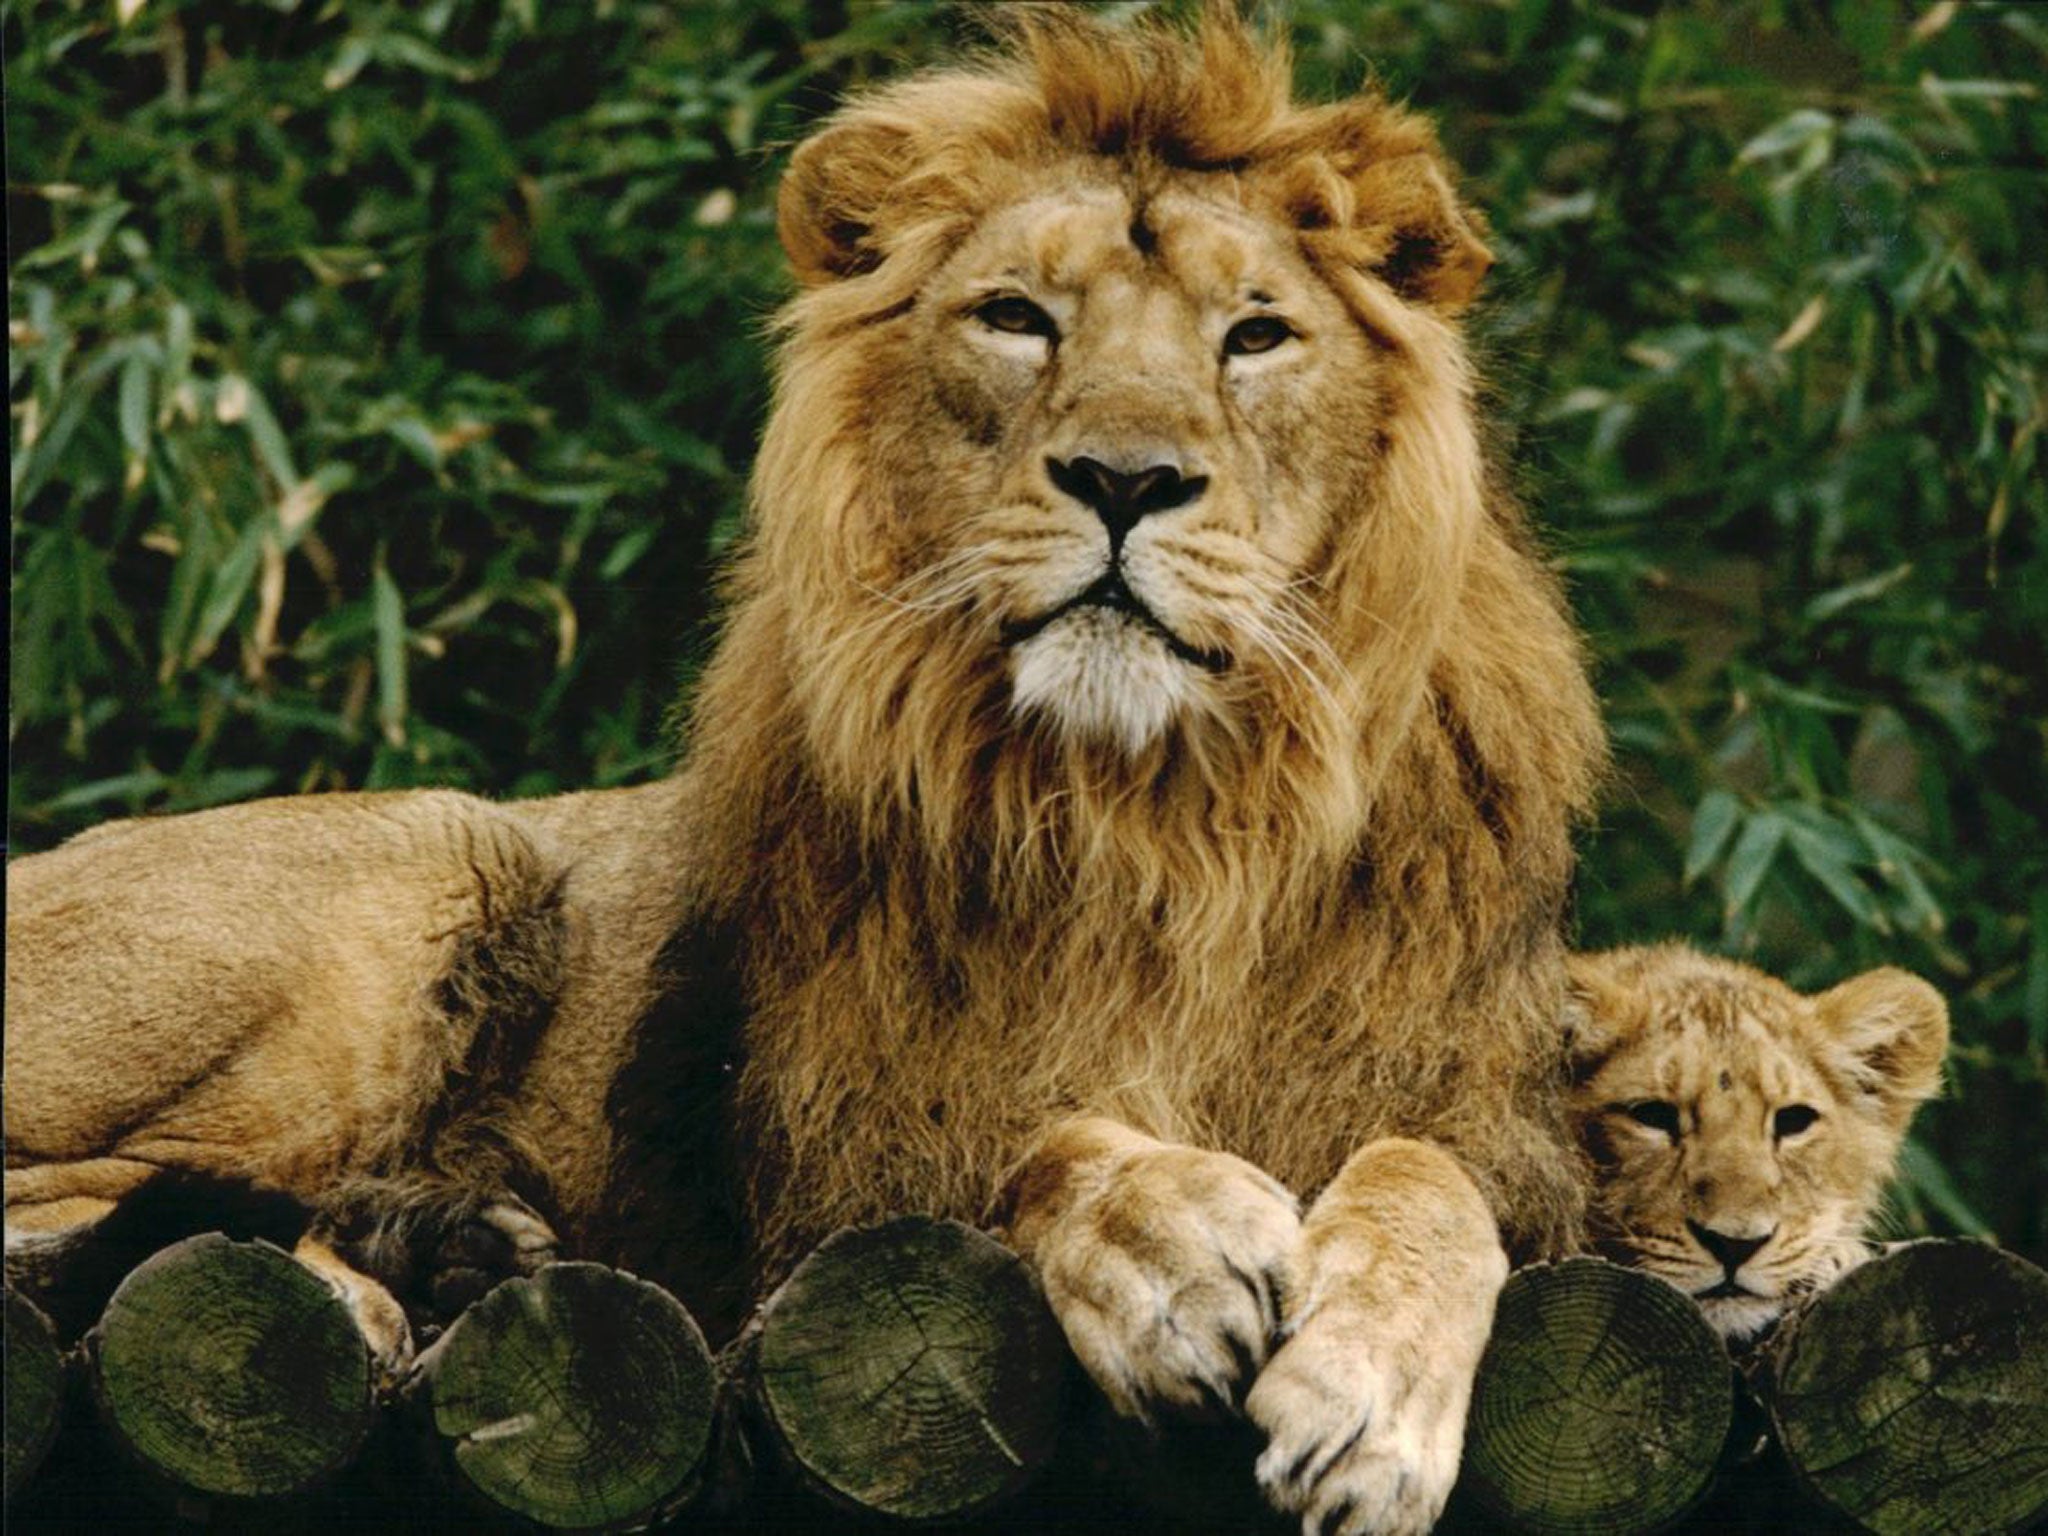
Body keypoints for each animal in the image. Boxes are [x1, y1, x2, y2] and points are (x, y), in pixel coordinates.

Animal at [8, 12, 1605, 1536]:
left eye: (1257, 336)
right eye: (1016, 319)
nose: (1126, 479)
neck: (1151, 812)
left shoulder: (1489, 1120)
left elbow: (1431, 1177)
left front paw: (1366, 1397)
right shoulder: (837, 1169)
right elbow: (1034, 1146)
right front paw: (1170, 1247)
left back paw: (443, 1249)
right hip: (446, 851)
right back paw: (363, 1287)